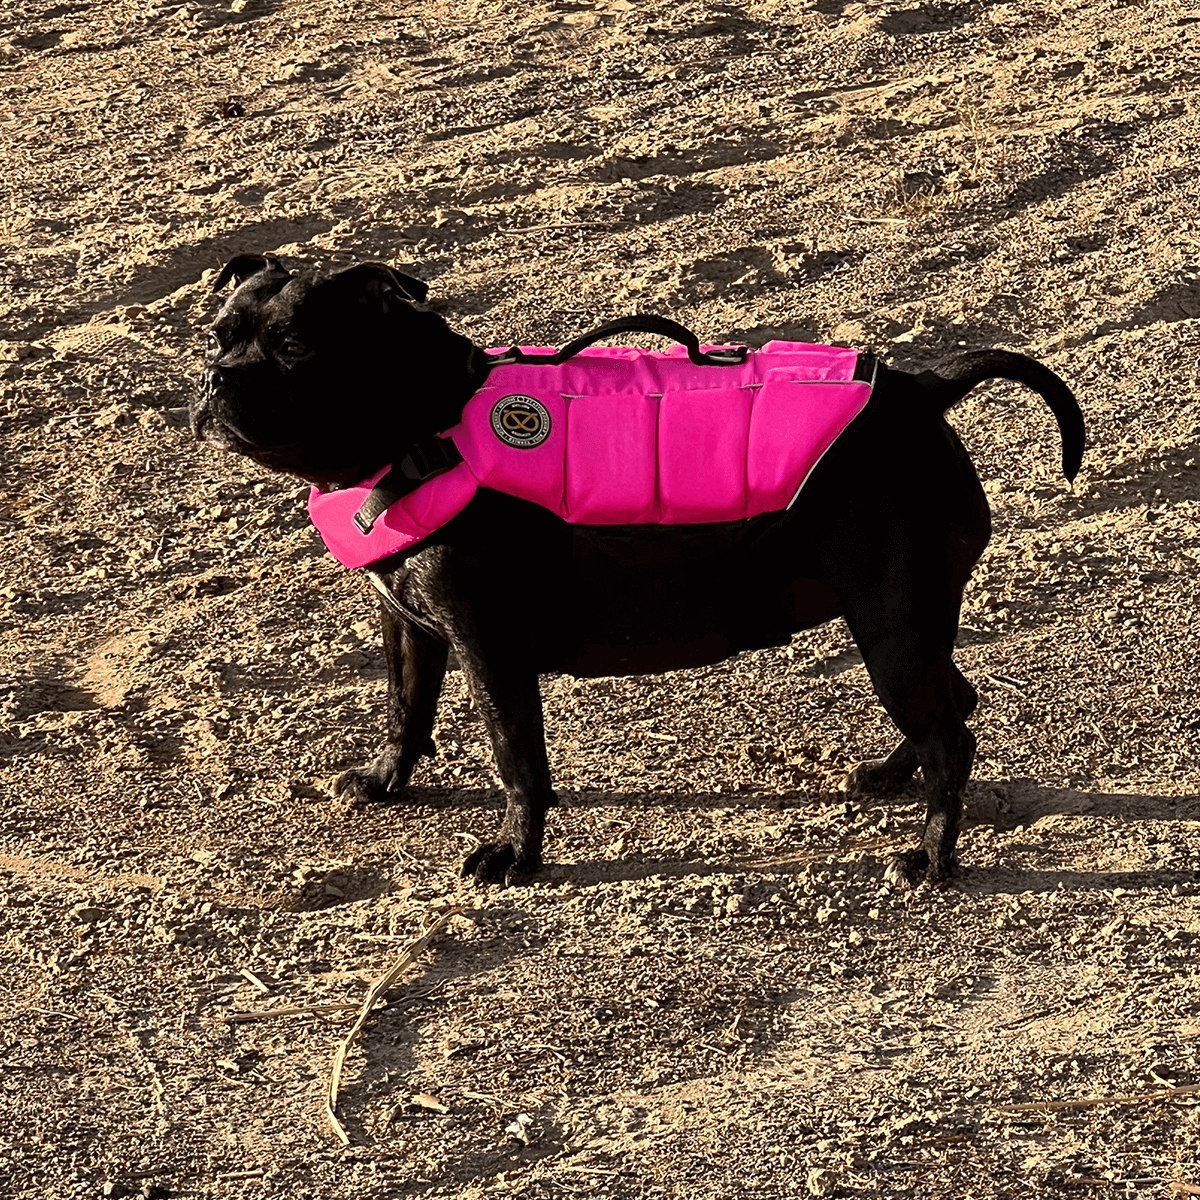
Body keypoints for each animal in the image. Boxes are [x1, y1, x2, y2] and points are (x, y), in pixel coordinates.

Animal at [192, 255, 1084, 883]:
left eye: (295, 346)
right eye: (217, 336)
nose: (214, 380)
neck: (426, 422)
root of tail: (924, 391)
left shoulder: (490, 651)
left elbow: (518, 759)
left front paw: (515, 855)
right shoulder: (410, 627)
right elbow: (406, 711)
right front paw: (385, 780)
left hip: (892, 629)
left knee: (949, 738)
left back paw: (932, 856)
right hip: (905, 627)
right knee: (953, 705)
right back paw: (893, 775)